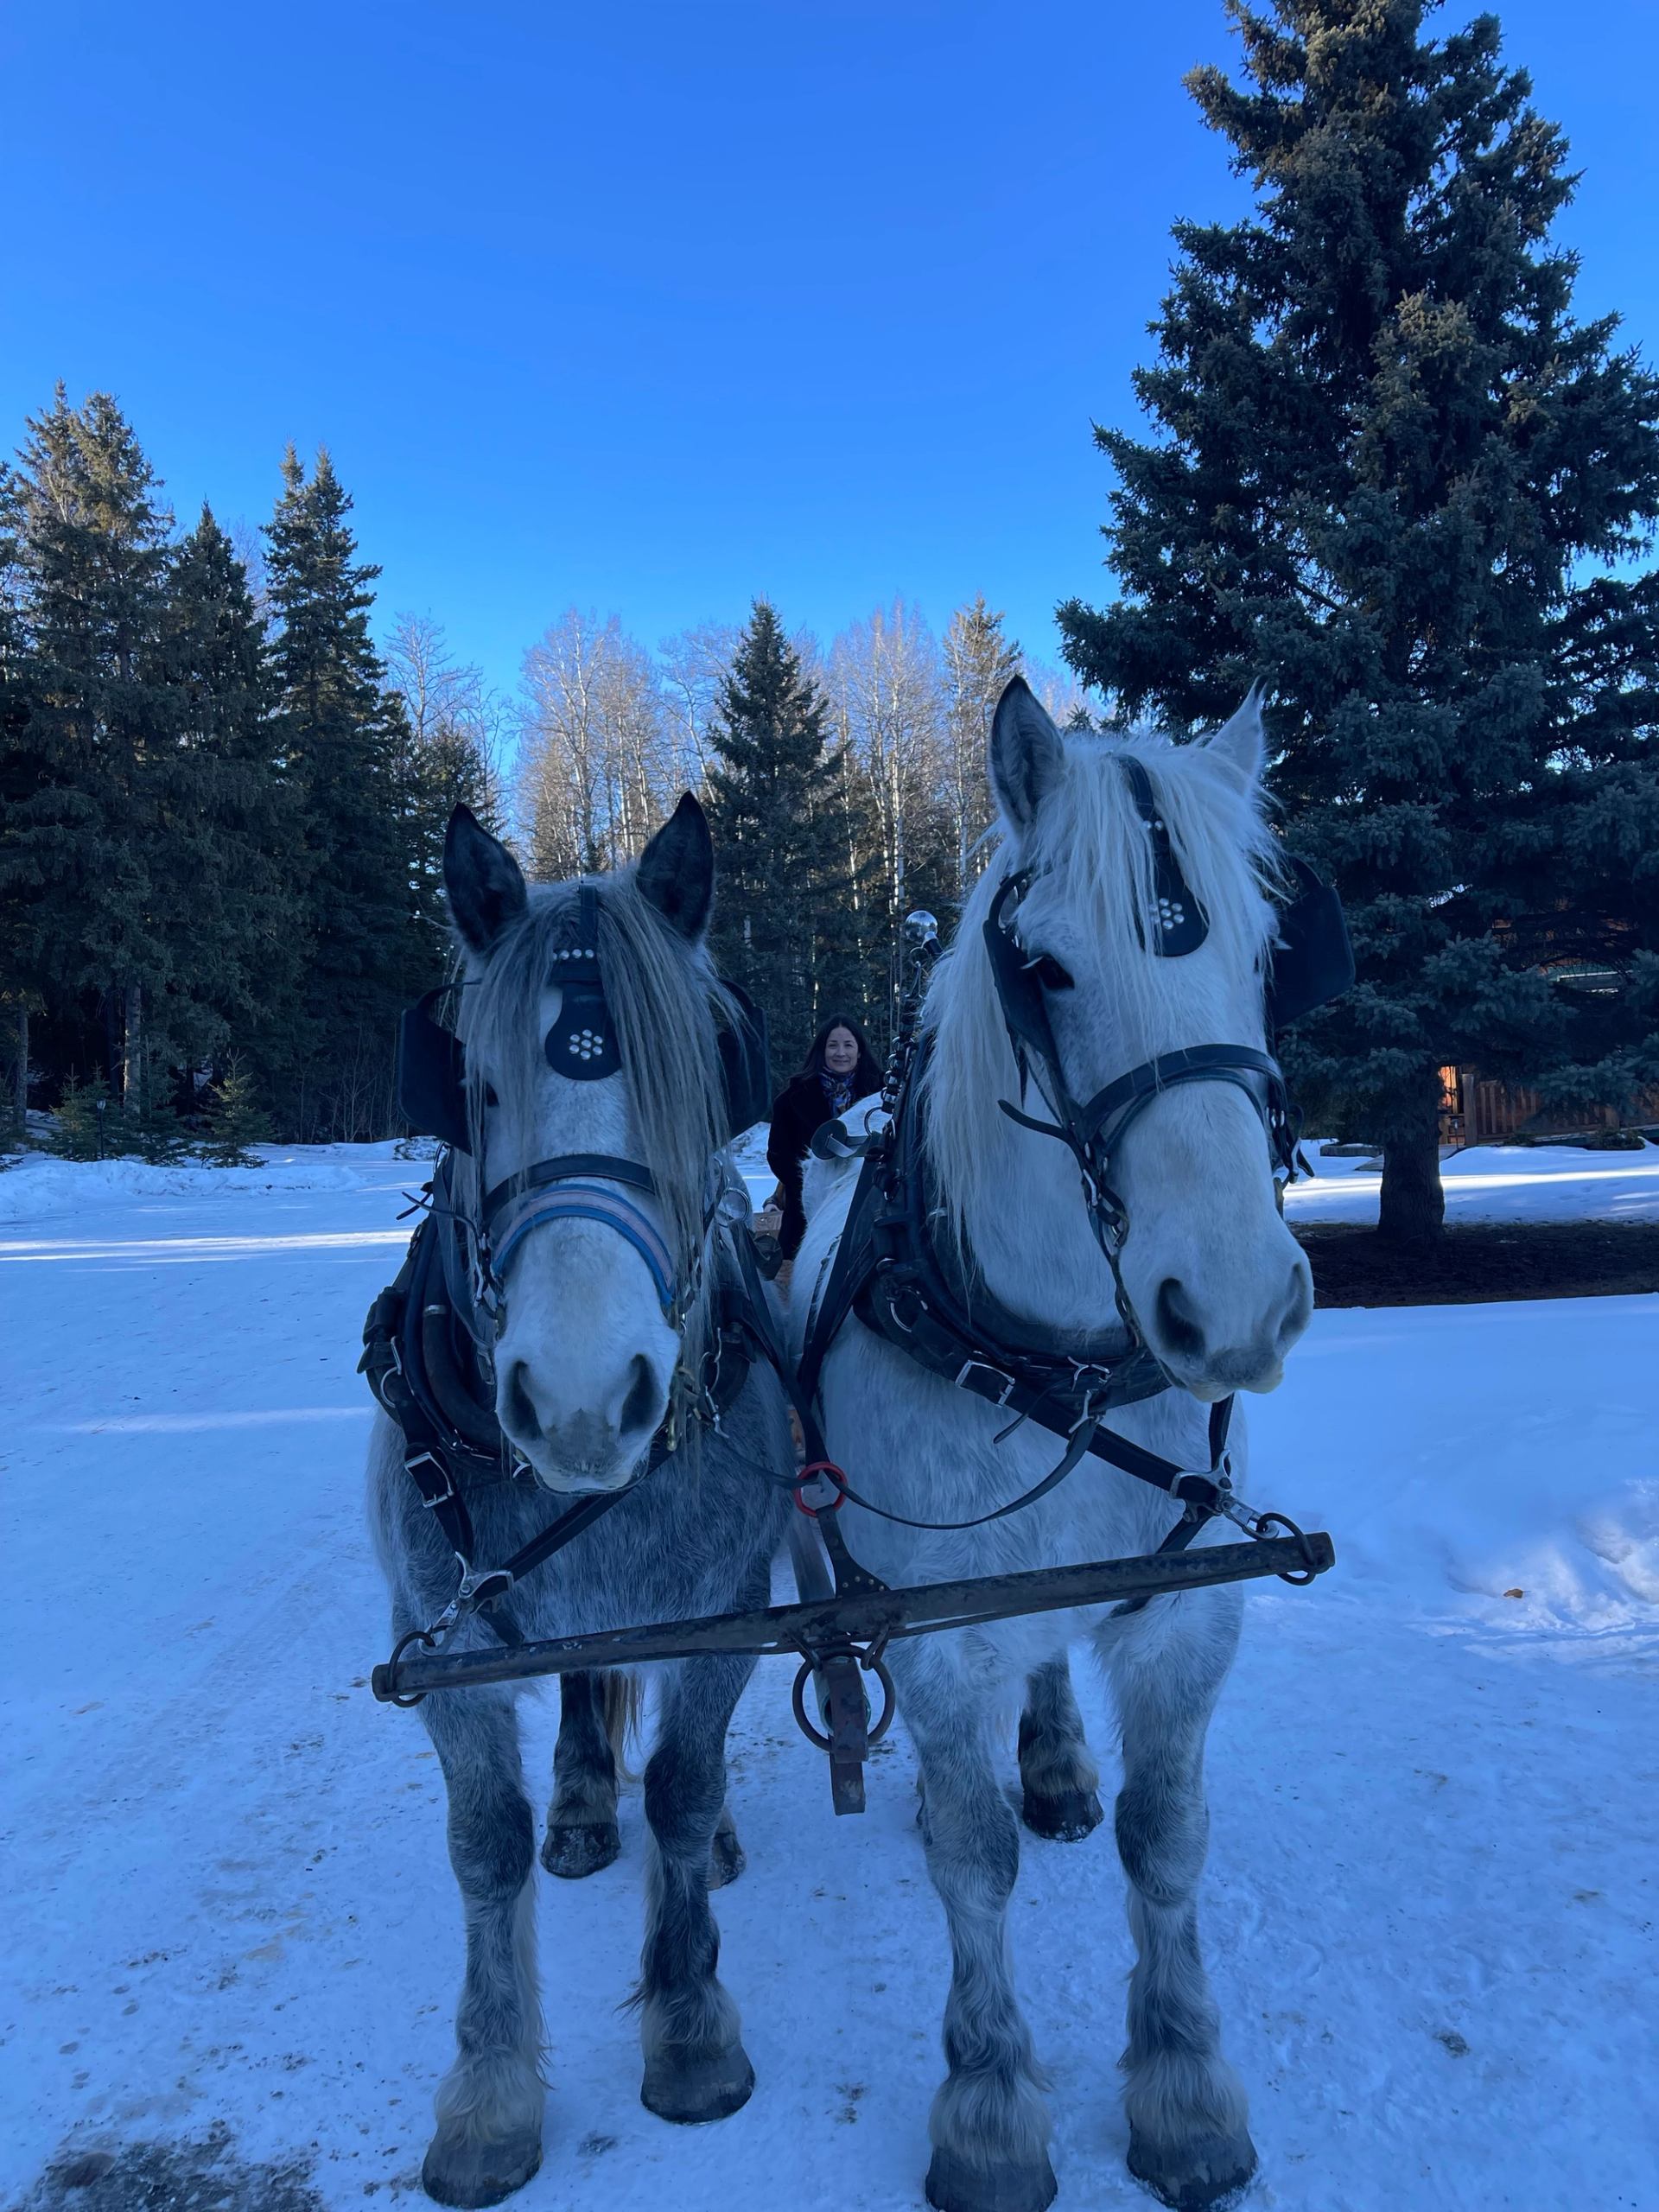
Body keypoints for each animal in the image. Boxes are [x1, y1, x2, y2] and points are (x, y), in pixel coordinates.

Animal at [368, 795, 792, 2209]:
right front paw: (491, 2094)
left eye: (697, 1081)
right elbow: (484, 1844)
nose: (580, 1398)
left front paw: (692, 2030)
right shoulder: (438, 1643)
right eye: (479, 1091)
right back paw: (581, 1802)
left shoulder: (725, 1604)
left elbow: (687, 1784)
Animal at [788, 678, 1315, 2212]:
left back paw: (1061, 1764)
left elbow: (1167, 1837)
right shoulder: (937, 1635)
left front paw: (1185, 2090)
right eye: (1047, 968)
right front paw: (987, 2112)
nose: (1237, 1305)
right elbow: (969, 1861)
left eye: (1265, 955)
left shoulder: (1186, 1615)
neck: (1059, 1363)